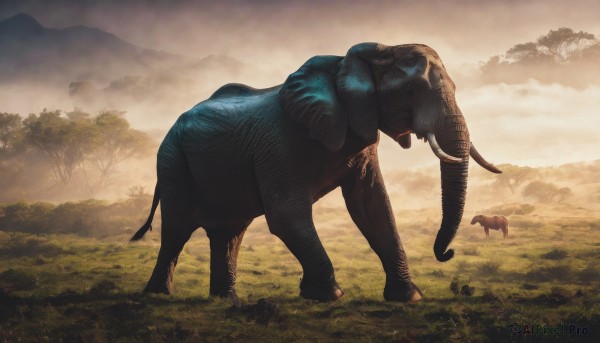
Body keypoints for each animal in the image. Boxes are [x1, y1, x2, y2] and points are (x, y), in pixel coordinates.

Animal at [130, 42, 502, 304]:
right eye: (410, 91)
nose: (447, 254)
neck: (352, 62)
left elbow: (373, 207)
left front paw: (408, 297)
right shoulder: (278, 141)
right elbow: (286, 215)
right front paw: (329, 296)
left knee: (229, 233)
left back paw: (227, 300)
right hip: (172, 161)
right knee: (178, 228)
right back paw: (160, 295)